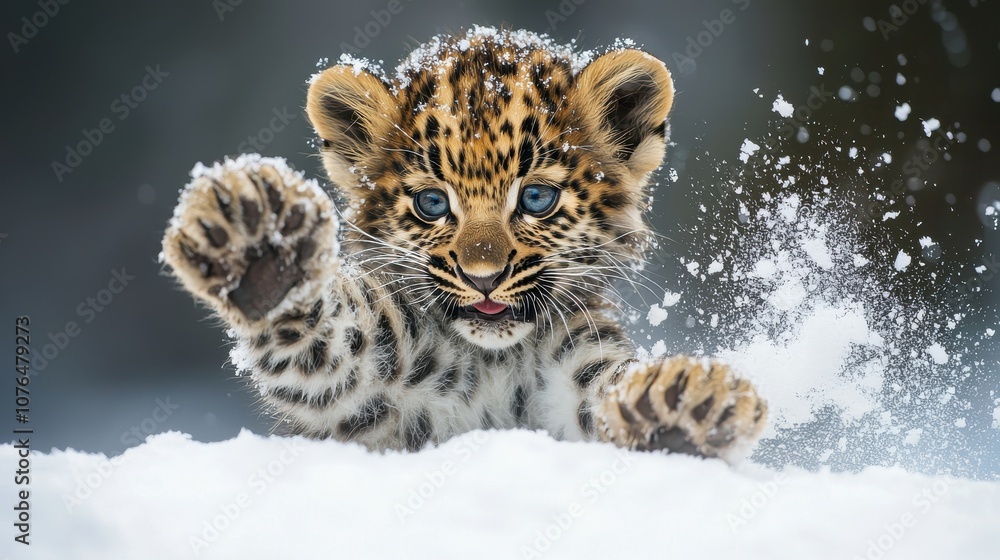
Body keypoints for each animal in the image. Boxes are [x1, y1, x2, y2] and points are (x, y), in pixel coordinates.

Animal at [161, 26, 766, 461]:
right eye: (433, 204)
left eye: (537, 198)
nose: (484, 277)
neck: (497, 359)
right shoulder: (370, 388)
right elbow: (333, 343)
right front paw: (260, 254)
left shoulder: (575, 365)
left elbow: (604, 390)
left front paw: (683, 403)